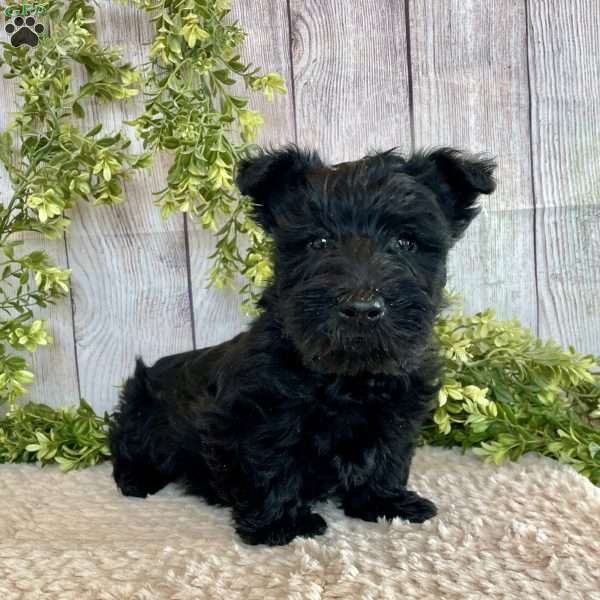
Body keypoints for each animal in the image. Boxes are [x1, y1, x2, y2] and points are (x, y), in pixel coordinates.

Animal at [110, 144, 494, 544]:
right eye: (318, 242)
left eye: (405, 242)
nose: (361, 308)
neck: (345, 374)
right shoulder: (260, 412)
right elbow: (273, 459)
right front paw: (281, 524)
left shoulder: (397, 411)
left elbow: (388, 454)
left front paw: (385, 502)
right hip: (141, 416)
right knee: (127, 446)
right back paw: (136, 479)